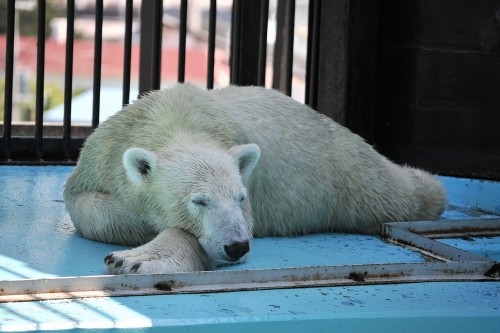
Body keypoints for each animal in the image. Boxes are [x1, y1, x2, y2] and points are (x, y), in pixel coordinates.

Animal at [63, 82, 446, 272]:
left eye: (240, 197)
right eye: (199, 200)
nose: (237, 246)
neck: (170, 119)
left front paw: (134, 259)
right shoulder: (101, 154)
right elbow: (85, 205)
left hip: (348, 173)